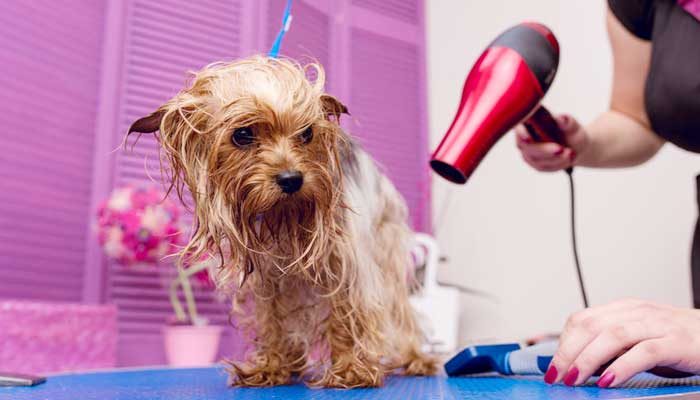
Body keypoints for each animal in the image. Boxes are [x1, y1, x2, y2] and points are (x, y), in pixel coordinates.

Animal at [128, 55, 434, 388]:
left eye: (307, 133)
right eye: (243, 135)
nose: (291, 179)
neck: (285, 215)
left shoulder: (346, 263)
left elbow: (345, 314)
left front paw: (351, 369)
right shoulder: (267, 277)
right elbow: (272, 320)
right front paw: (273, 366)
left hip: (386, 249)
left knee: (400, 311)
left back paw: (417, 358)